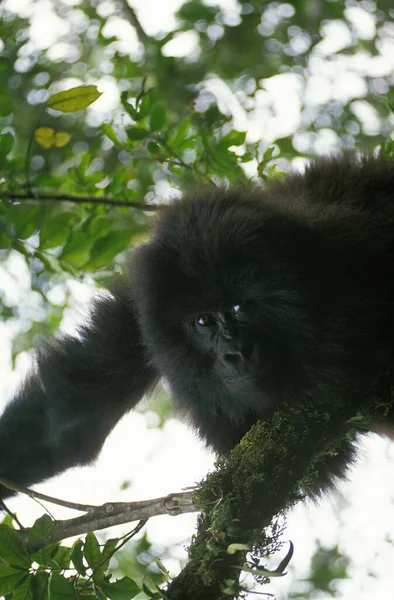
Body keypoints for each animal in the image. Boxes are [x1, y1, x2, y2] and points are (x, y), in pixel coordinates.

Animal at [0, 155, 394, 496]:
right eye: (203, 321)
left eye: (240, 307)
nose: (236, 353)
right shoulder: (137, 313)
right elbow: (66, 427)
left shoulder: (354, 255)